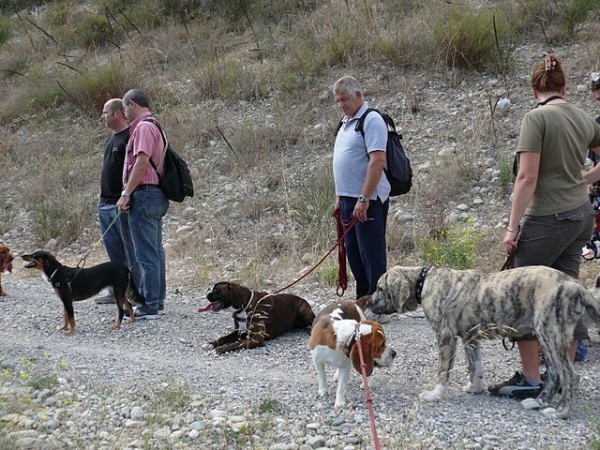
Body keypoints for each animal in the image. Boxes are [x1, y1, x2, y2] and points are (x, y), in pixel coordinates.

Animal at [368, 264, 600, 418]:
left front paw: (435, 394)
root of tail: (574, 284)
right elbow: (475, 365)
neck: (423, 283)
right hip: (546, 337)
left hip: (550, 334)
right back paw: (537, 401)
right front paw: (475, 387)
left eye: (380, 288)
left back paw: (561, 411)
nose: (368, 303)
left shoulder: (445, 336)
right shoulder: (470, 338)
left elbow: (443, 371)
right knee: (553, 373)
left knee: (571, 376)